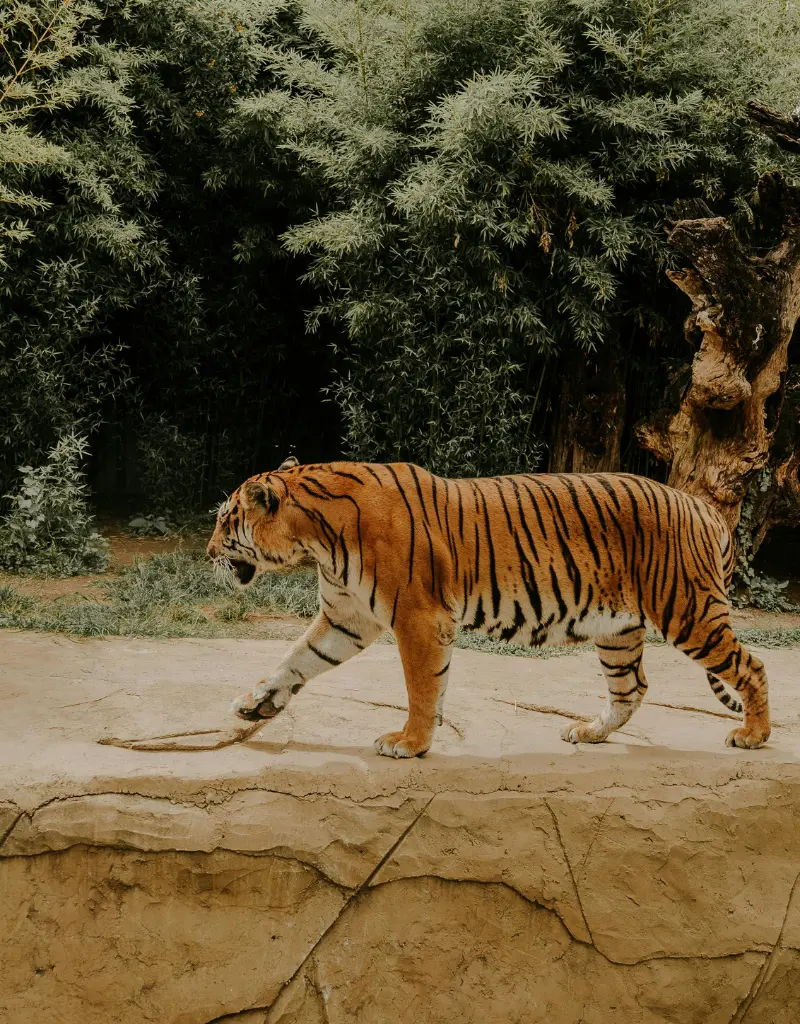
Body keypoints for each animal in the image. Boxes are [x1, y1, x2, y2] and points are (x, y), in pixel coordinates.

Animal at [206, 457, 770, 757]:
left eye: (225, 519)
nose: (209, 552)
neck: (315, 540)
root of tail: (704, 507)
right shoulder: (347, 619)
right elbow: (296, 660)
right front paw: (254, 705)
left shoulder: (418, 617)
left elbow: (421, 687)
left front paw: (410, 742)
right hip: (618, 628)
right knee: (631, 688)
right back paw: (588, 732)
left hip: (687, 609)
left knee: (752, 666)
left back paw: (753, 735)